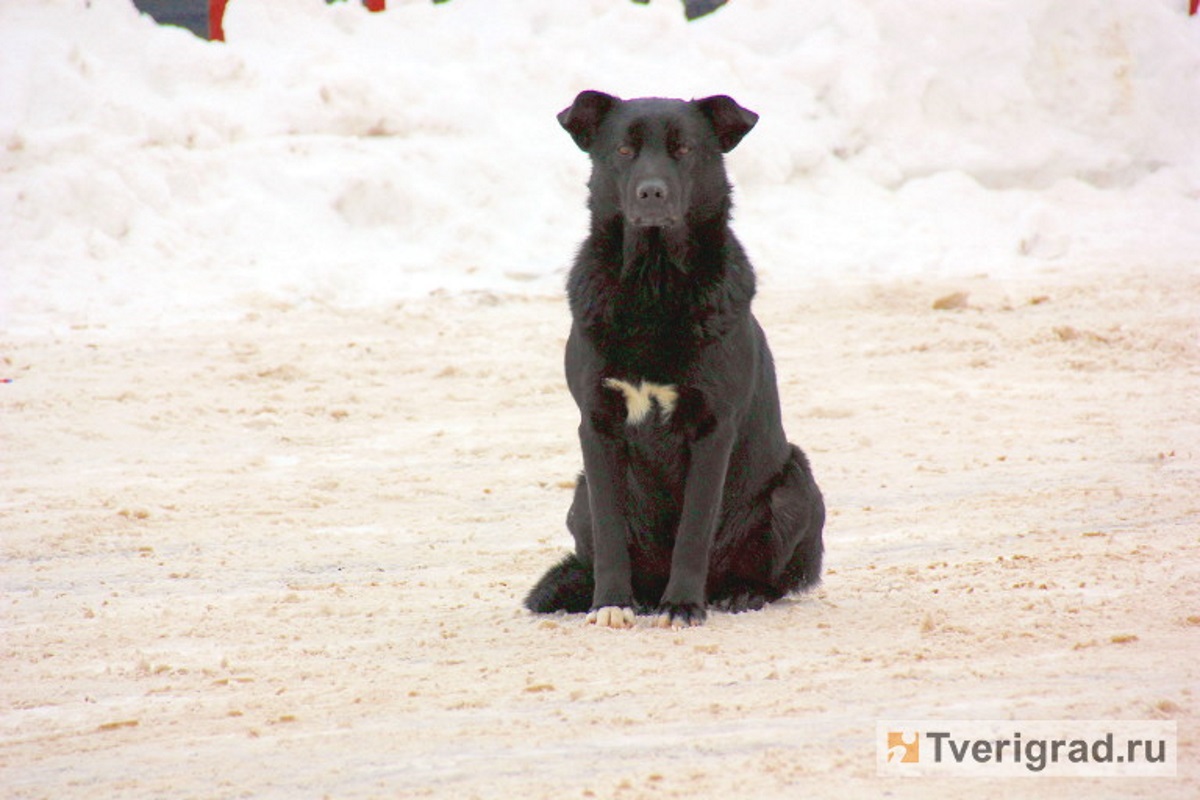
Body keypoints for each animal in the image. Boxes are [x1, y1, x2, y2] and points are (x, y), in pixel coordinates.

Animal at [525, 87, 825, 623]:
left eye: (683, 149)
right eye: (624, 150)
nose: (651, 193)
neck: (653, 282)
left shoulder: (711, 427)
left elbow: (694, 530)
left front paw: (683, 605)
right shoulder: (597, 426)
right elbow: (610, 530)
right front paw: (612, 604)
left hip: (797, 486)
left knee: (769, 575)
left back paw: (738, 593)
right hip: (578, 495)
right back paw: (637, 597)